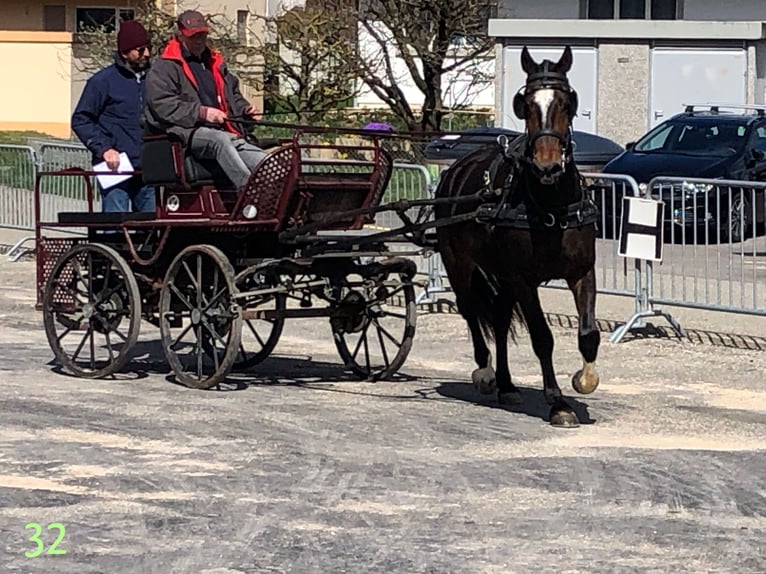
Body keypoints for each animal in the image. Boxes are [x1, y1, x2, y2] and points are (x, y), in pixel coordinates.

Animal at [436, 47, 604, 430]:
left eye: (566, 101)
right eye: (525, 104)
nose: (547, 165)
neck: (551, 204)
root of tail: (455, 169)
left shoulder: (582, 272)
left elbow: (589, 334)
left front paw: (584, 379)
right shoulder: (523, 279)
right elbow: (542, 337)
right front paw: (558, 403)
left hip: (501, 275)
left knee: (498, 319)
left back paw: (507, 384)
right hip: (460, 264)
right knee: (471, 310)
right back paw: (485, 373)